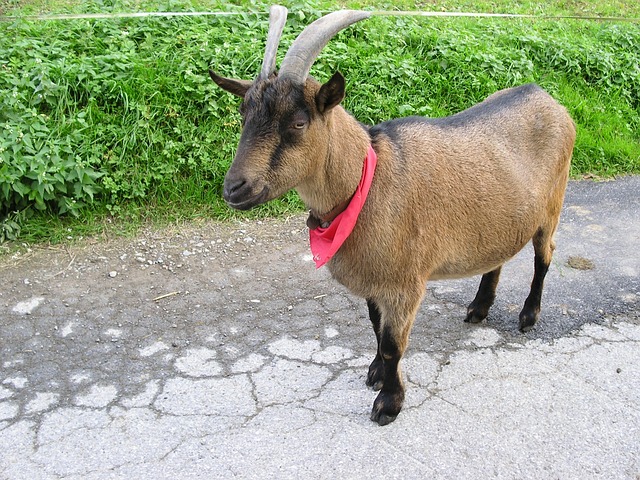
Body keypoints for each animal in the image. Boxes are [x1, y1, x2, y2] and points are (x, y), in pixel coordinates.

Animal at [209, 5, 576, 426]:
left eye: (298, 123)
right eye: (244, 116)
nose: (234, 188)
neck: (366, 183)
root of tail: (544, 96)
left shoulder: (404, 282)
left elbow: (391, 344)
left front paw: (388, 401)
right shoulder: (375, 278)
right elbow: (374, 327)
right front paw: (375, 373)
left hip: (553, 203)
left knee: (544, 255)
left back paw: (528, 315)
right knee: (497, 255)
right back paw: (479, 307)